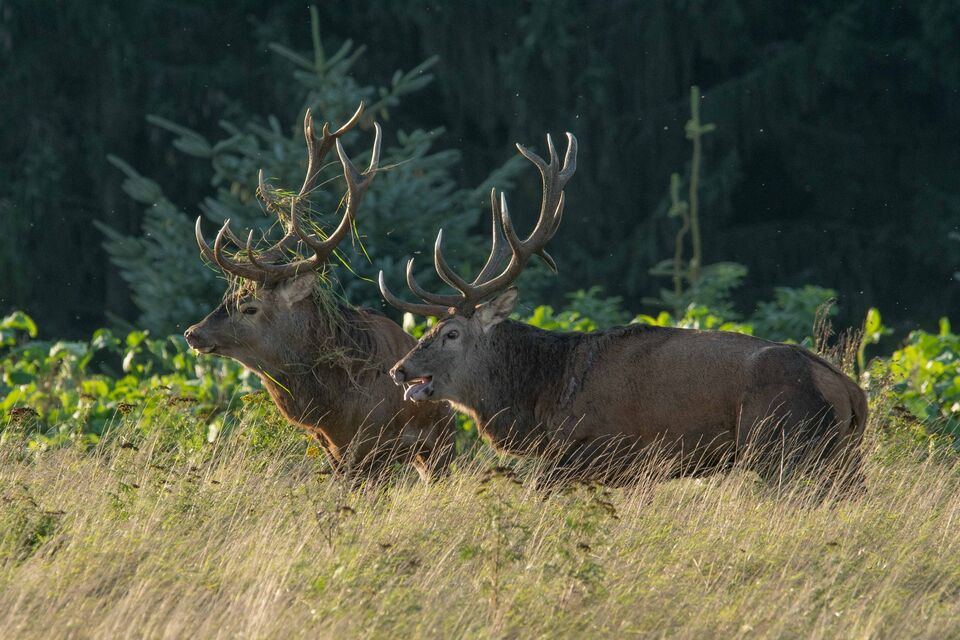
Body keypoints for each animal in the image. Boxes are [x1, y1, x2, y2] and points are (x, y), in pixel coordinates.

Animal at [184, 104, 455, 482]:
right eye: (228, 299)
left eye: (249, 307)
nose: (192, 333)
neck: (335, 409)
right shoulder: (333, 450)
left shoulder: (375, 448)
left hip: (442, 441)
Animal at [379, 132, 867, 491]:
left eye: (452, 333)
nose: (400, 370)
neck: (546, 400)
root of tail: (850, 391)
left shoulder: (599, 450)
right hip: (841, 457)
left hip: (779, 445)